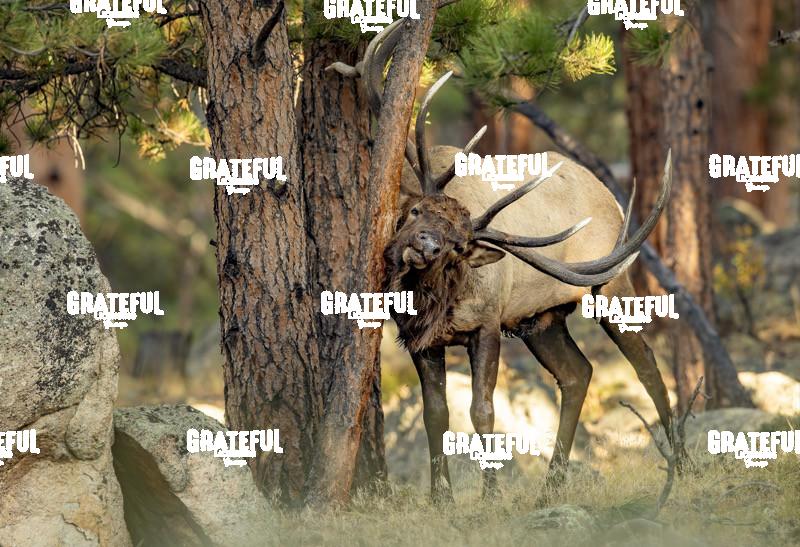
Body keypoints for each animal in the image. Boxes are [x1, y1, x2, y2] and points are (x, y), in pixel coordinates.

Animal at [328, 21, 676, 504]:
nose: (425, 246)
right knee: (578, 373)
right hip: (542, 319)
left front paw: (489, 494)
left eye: (458, 245)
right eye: (416, 211)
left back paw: (682, 461)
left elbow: (483, 411)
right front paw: (440, 496)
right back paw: (551, 484)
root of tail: (608, 193)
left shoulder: (488, 324)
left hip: (610, 287)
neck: (441, 302)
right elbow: (435, 414)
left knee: (646, 364)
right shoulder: (420, 339)